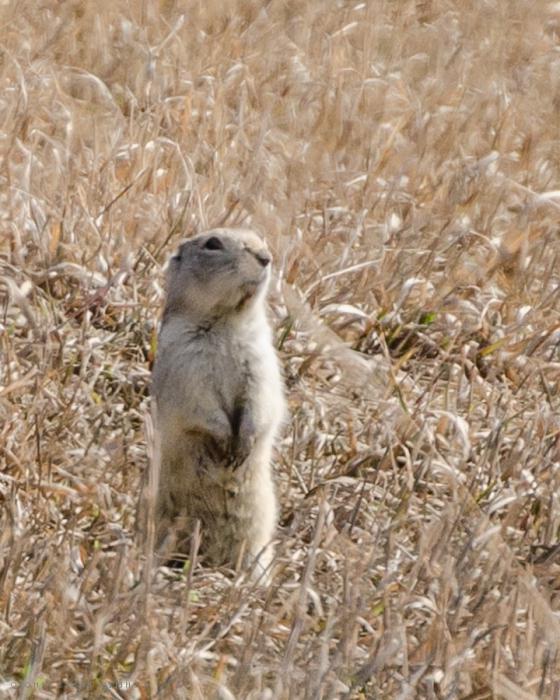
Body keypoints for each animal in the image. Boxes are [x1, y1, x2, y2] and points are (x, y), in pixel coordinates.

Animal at [151, 227, 284, 572]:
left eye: (259, 237)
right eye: (212, 244)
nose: (266, 257)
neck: (228, 322)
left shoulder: (262, 363)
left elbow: (261, 404)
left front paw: (242, 445)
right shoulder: (186, 363)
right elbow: (201, 405)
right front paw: (225, 443)